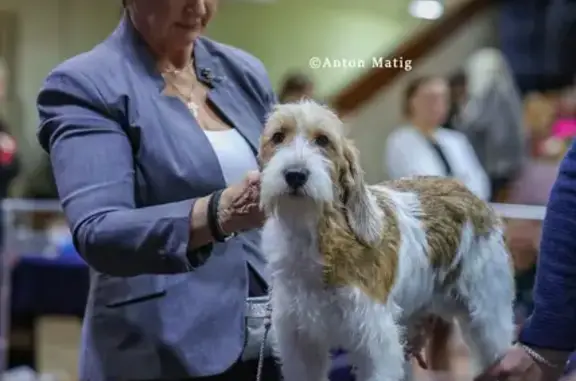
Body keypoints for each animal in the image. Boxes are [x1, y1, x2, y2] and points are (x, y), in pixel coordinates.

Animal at [258, 100, 516, 380]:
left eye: (323, 140)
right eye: (278, 137)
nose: (295, 174)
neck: (316, 236)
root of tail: (469, 193)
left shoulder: (374, 340)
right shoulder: (299, 343)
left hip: (488, 316)